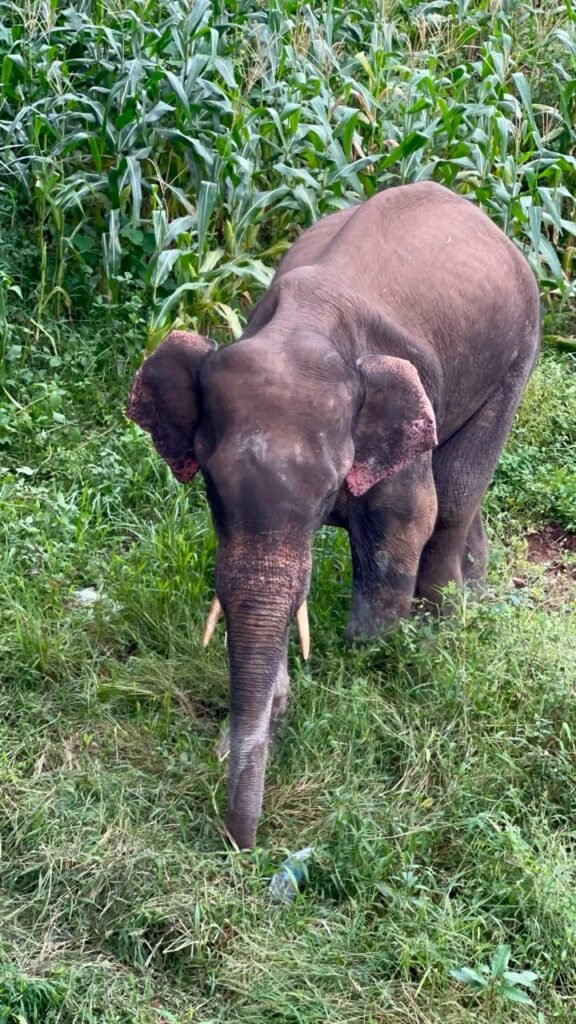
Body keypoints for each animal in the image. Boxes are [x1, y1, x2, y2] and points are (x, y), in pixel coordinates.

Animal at [127, 181, 540, 849]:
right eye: (210, 486)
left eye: (326, 490)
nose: (240, 845)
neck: (303, 323)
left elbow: (407, 522)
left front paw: (363, 663)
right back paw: (475, 592)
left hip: (519, 352)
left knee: (456, 491)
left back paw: (447, 622)